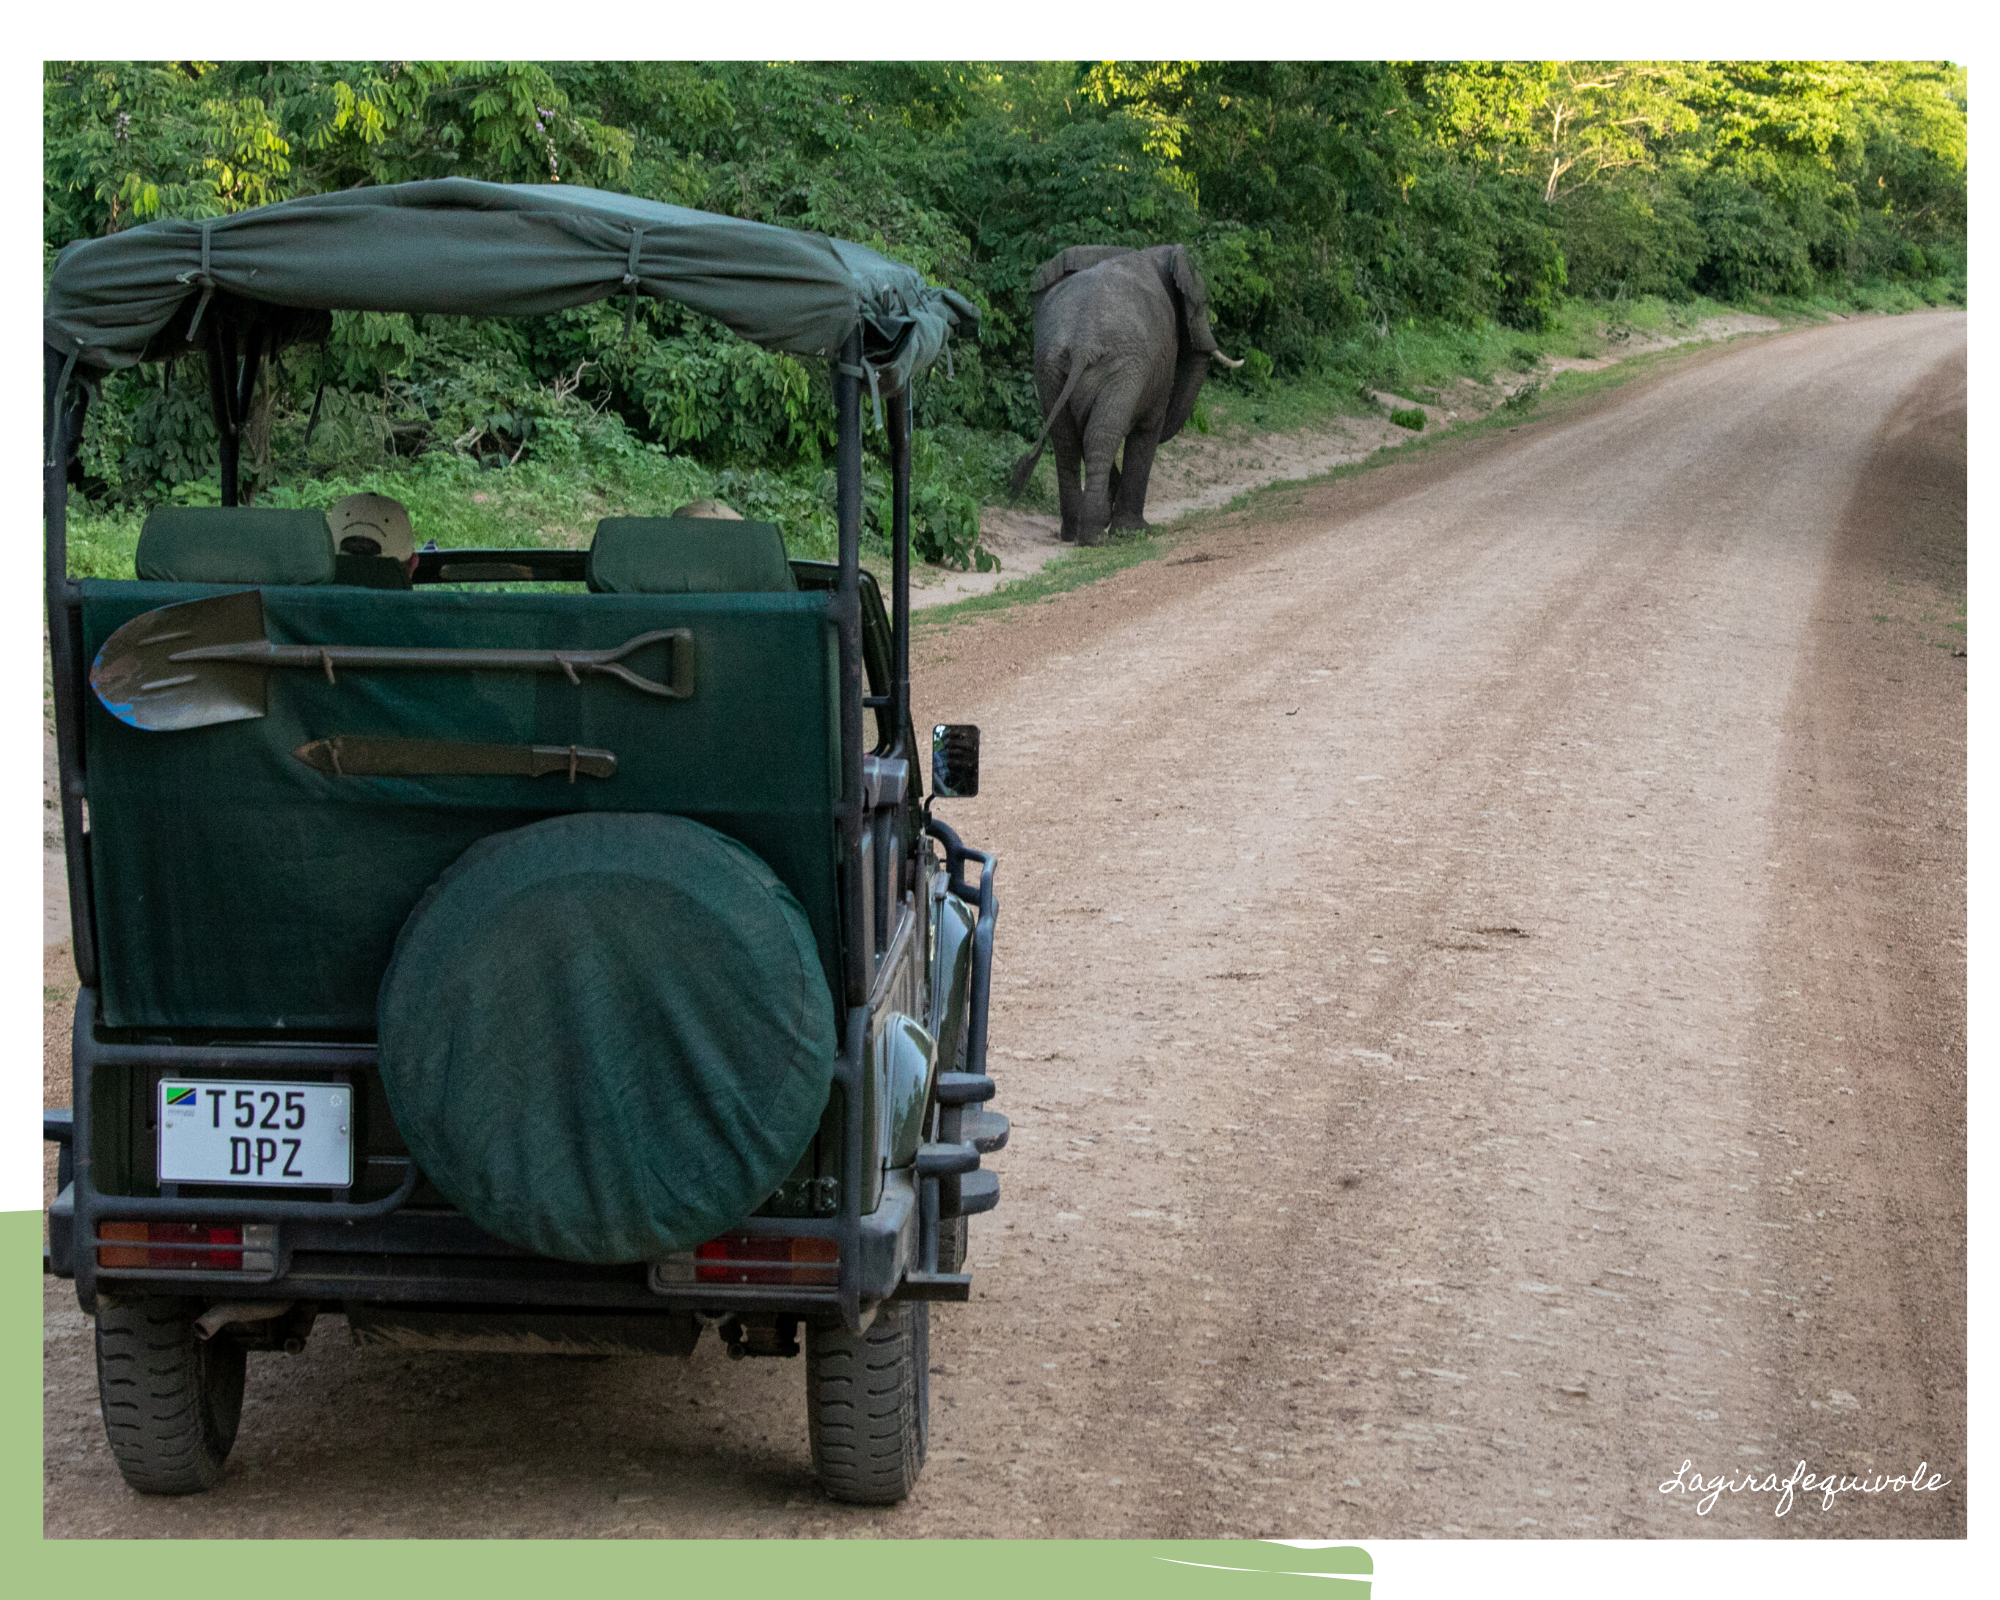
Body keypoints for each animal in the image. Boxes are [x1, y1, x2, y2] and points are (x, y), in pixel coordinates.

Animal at [1016, 242, 1232, 544]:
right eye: (1200, 304)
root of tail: (1081, 344)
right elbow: (1149, 427)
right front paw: (1135, 530)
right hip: (1121, 369)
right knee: (1100, 434)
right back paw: (1094, 537)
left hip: (1050, 369)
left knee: (1067, 439)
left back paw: (1073, 533)